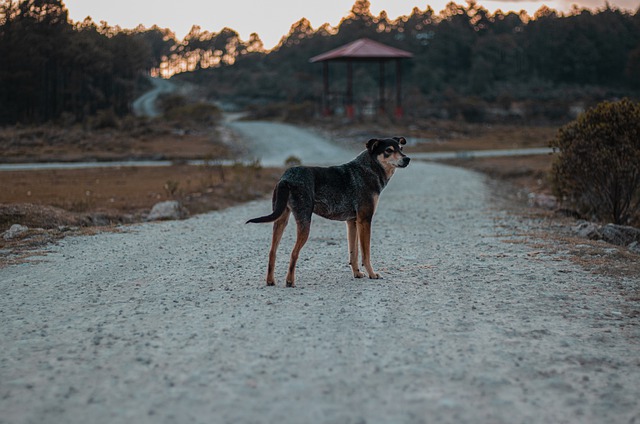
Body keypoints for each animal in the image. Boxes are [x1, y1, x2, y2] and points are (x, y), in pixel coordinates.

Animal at [245, 137, 410, 286]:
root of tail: (286, 178)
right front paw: (372, 274)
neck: (368, 168)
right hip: (304, 222)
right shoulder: (365, 220)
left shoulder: (352, 222)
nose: (407, 159)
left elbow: (354, 253)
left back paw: (270, 281)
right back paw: (290, 281)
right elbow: (365, 254)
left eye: (401, 148)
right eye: (389, 150)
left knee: (272, 252)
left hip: (281, 220)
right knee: (293, 253)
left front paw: (357, 273)